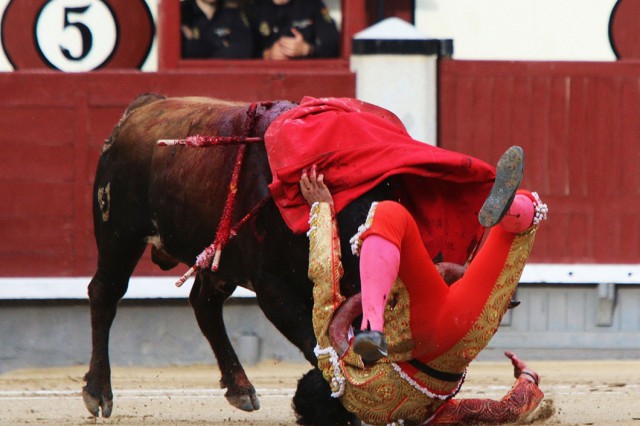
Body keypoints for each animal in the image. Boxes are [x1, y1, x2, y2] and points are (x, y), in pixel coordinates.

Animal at [84, 94, 376, 422]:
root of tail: (144, 105)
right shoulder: (273, 288)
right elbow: (315, 344)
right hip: (120, 236)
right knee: (105, 293)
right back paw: (98, 392)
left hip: (220, 260)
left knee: (204, 305)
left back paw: (240, 388)